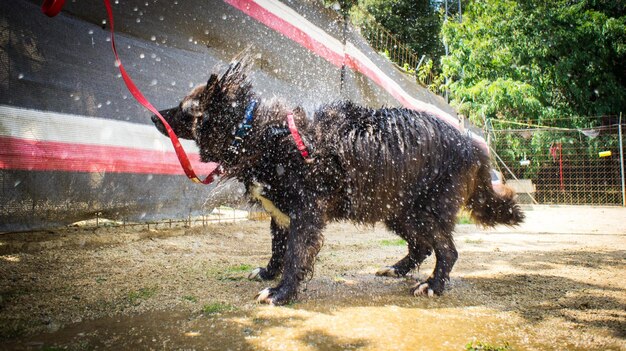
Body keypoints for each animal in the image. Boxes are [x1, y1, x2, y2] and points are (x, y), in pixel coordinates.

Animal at [151, 57, 520, 306]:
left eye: (184, 108)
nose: (154, 116)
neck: (259, 133)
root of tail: (472, 144)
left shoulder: (306, 213)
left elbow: (296, 256)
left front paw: (281, 292)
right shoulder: (280, 214)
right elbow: (278, 250)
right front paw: (269, 273)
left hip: (425, 209)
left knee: (447, 250)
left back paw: (433, 285)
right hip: (396, 209)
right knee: (422, 245)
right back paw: (397, 269)